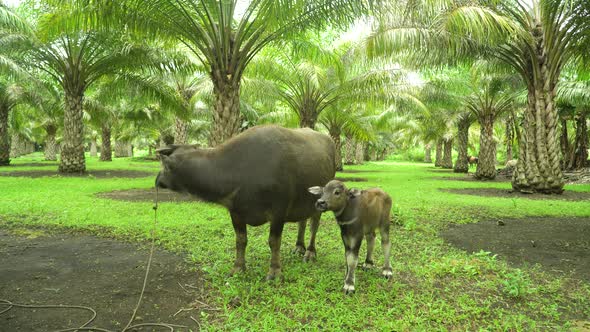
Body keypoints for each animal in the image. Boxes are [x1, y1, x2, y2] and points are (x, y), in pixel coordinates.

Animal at [155, 124, 336, 280]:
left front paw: (275, 271)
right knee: (302, 222)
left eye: (164, 167)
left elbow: (274, 242)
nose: (157, 180)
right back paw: (299, 246)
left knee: (313, 226)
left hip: (318, 202)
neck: (239, 170)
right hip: (303, 201)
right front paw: (238, 268)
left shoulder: (278, 212)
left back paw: (310, 252)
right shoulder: (236, 212)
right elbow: (241, 240)